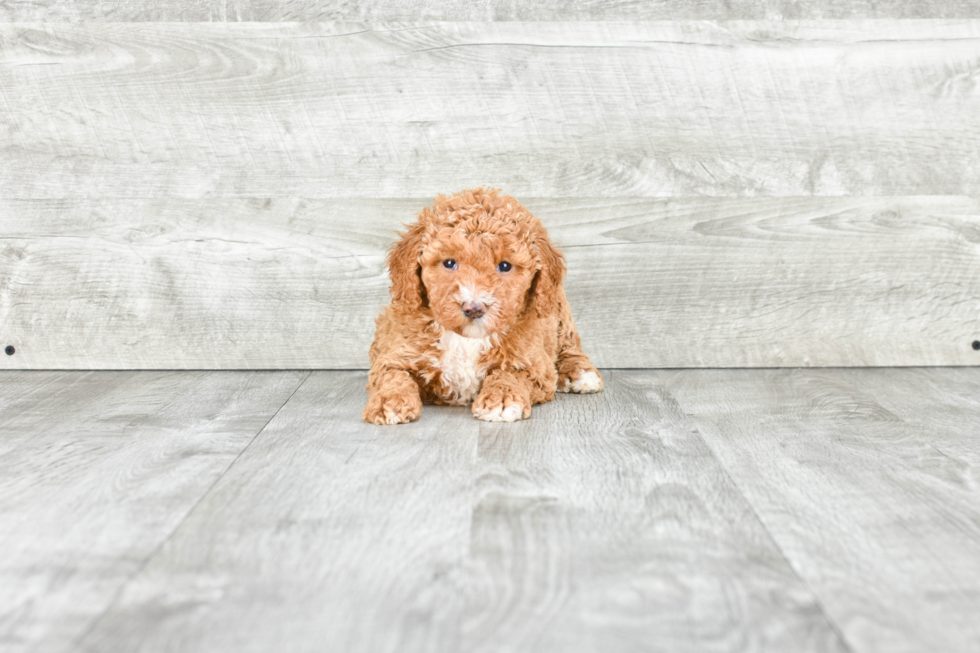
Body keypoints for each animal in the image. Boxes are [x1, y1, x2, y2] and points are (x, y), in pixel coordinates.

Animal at [362, 186, 600, 426]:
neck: (467, 339)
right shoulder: (397, 352)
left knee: (569, 343)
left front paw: (501, 399)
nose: (473, 308)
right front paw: (390, 401)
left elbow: (510, 373)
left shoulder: (535, 365)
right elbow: (393, 375)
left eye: (505, 266)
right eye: (449, 263)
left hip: (557, 309)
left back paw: (581, 373)